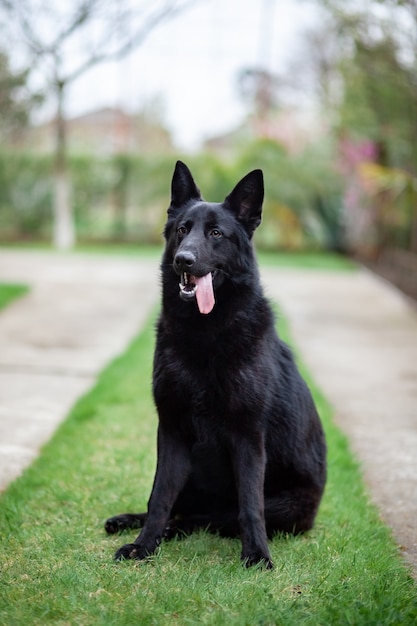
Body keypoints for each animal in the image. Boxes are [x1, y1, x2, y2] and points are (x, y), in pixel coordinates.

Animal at [104, 160, 324, 564]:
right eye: (182, 230)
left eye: (217, 233)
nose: (183, 260)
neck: (205, 332)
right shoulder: (171, 431)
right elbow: (159, 497)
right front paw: (144, 544)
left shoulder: (247, 436)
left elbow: (249, 505)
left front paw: (257, 556)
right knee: (180, 508)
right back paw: (136, 522)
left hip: (285, 505)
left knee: (215, 517)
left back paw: (177, 530)